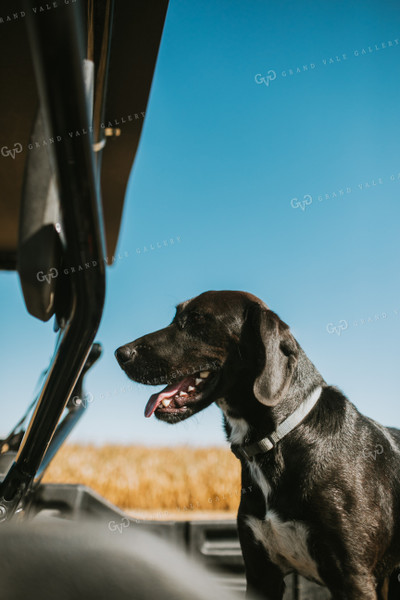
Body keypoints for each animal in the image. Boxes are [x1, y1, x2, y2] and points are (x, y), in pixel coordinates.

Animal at [114, 290, 400, 596]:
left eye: (197, 319)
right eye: (176, 316)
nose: (120, 353)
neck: (277, 439)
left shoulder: (353, 579)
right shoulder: (260, 574)